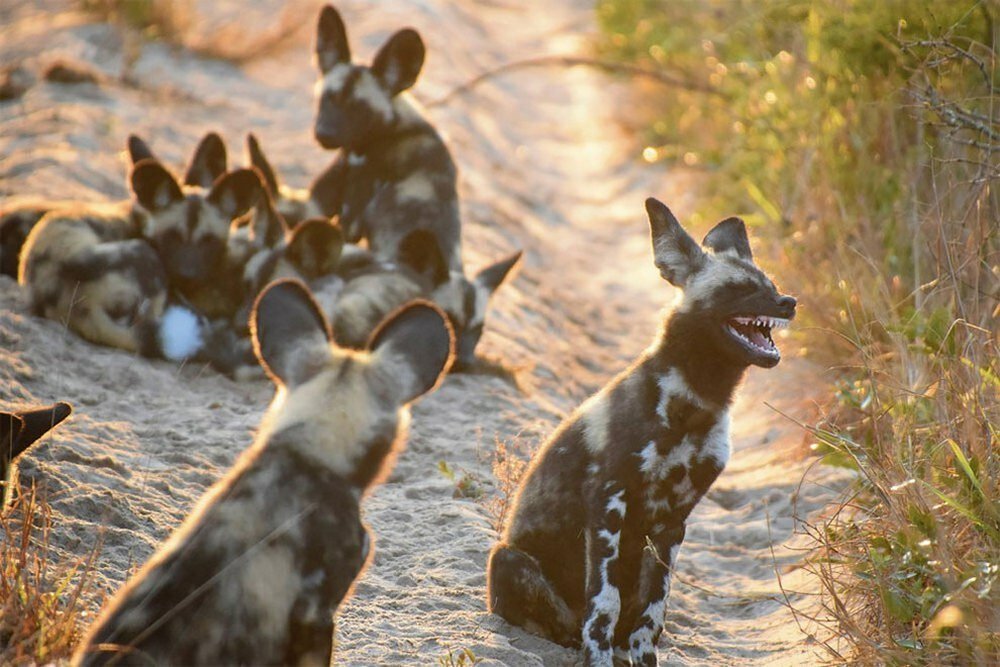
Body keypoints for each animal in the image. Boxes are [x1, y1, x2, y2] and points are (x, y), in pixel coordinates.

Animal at [484, 197, 796, 664]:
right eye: (739, 289)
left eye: (771, 285)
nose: (788, 302)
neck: (696, 402)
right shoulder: (609, 505)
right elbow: (604, 604)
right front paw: (597, 660)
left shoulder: (672, 522)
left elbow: (654, 612)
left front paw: (645, 659)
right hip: (507, 559)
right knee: (571, 623)